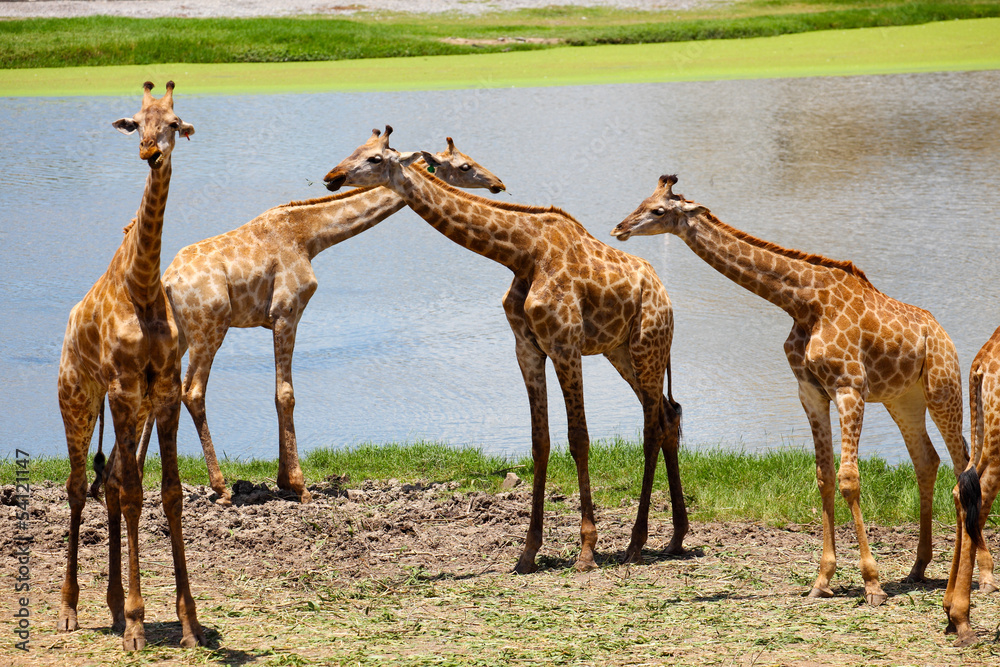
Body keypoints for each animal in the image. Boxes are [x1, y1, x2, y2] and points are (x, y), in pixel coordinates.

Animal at [56, 81, 203, 650]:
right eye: (136, 122)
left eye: (174, 123)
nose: (150, 153)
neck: (141, 287)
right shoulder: (121, 389)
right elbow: (140, 494)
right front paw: (140, 626)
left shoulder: (162, 393)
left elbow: (170, 494)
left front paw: (189, 623)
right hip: (77, 399)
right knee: (78, 486)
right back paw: (72, 609)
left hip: (126, 409)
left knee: (114, 483)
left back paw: (115, 607)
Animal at [131, 134, 504, 505]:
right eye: (464, 166)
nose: (497, 183)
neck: (311, 236)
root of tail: (167, 282)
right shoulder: (286, 313)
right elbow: (285, 393)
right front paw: (298, 485)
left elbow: (278, 393)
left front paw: (284, 480)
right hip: (209, 328)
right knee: (193, 392)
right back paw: (220, 487)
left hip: (178, 336)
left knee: (158, 393)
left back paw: (137, 476)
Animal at [323, 127, 686, 573]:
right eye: (354, 150)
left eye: (374, 159)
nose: (332, 177)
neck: (521, 253)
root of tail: (663, 293)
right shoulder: (527, 348)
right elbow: (539, 441)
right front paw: (527, 553)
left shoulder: (564, 344)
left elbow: (578, 438)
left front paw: (586, 551)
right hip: (620, 351)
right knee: (668, 415)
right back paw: (675, 538)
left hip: (647, 346)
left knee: (652, 426)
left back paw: (637, 543)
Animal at [611, 174, 993, 605]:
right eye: (642, 201)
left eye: (658, 210)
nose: (620, 228)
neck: (802, 302)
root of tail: (942, 333)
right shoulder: (810, 392)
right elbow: (824, 476)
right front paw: (822, 580)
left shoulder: (849, 387)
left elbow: (849, 479)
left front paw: (872, 584)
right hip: (903, 399)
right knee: (927, 461)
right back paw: (919, 568)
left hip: (943, 388)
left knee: (963, 464)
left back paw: (981, 575)